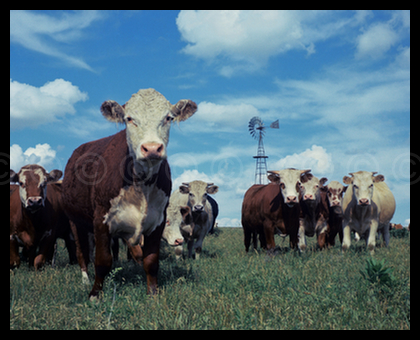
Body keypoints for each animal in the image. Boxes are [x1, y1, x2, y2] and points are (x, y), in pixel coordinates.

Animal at [62, 88, 197, 298]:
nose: (152, 148)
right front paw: (95, 294)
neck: (142, 183)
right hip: (74, 221)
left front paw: (153, 293)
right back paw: (85, 279)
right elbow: (102, 261)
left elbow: (150, 261)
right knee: (81, 251)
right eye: (129, 118)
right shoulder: (101, 220)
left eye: (168, 117)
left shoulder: (157, 221)